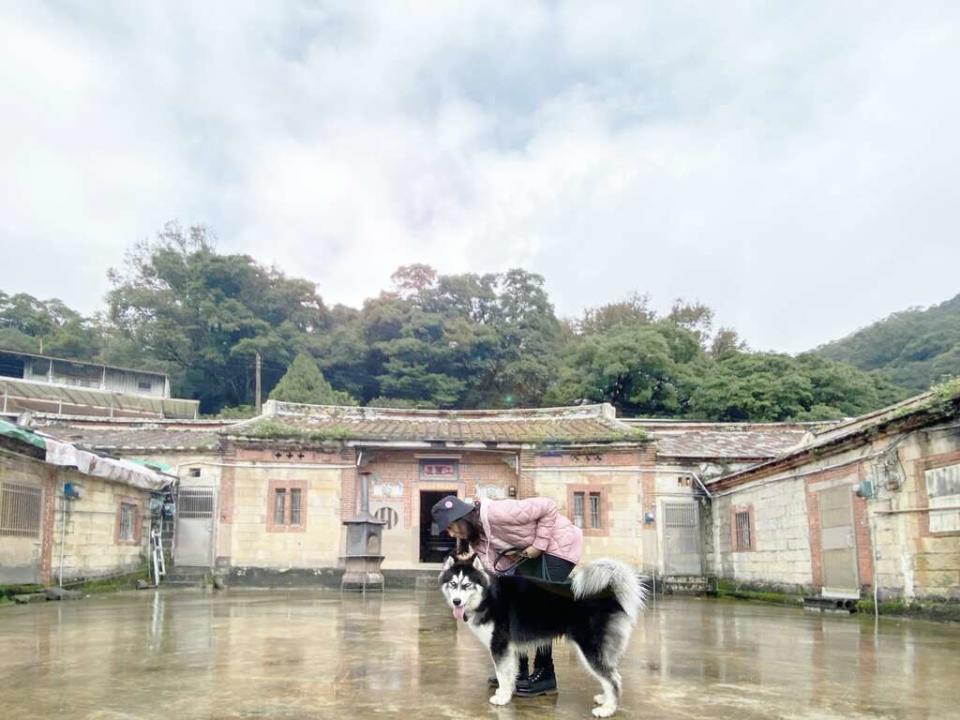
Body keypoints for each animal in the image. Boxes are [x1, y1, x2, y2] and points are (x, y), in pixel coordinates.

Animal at [442, 556, 644, 716]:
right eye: (452, 584)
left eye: (467, 585)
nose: (456, 601)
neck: (489, 596)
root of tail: (609, 593)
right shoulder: (509, 649)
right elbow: (510, 673)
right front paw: (506, 692)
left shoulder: (499, 646)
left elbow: (501, 674)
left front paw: (502, 697)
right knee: (612, 675)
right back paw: (604, 698)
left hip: (590, 649)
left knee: (613, 680)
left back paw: (608, 709)